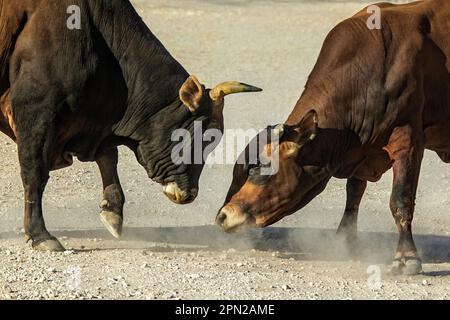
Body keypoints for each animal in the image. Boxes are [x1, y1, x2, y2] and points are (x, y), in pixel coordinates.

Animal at [216, 0, 448, 276]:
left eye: (259, 167)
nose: (223, 216)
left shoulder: (408, 142)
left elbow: (400, 200)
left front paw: (406, 257)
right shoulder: (361, 151)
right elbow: (354, 193)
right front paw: (345, 241)